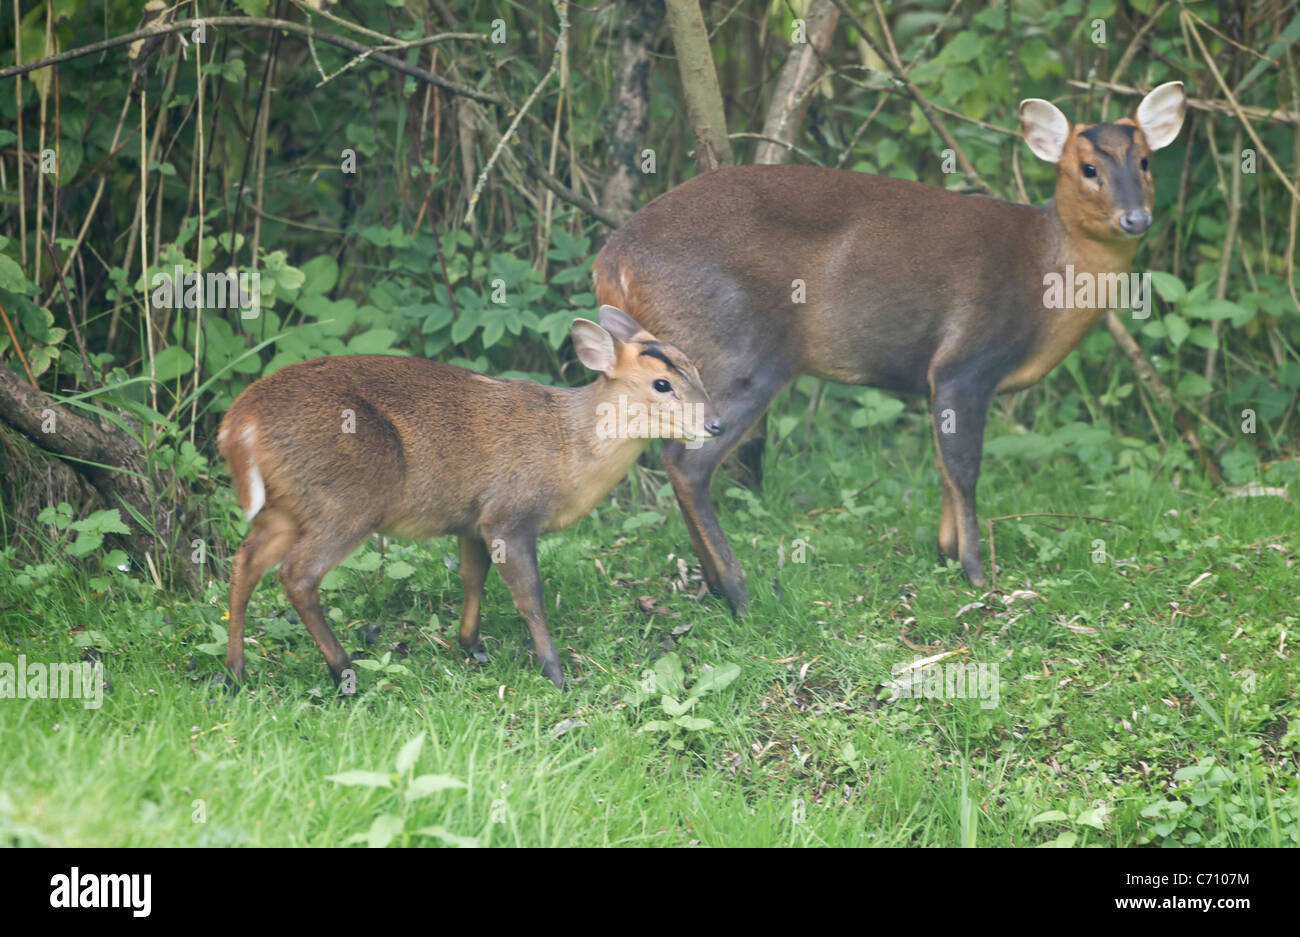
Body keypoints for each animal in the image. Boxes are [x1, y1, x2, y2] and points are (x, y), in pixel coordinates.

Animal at [215, 306, 722, 686]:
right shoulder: (509, 514)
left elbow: (472, 577)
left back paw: (235, 671)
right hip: (344, 503)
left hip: (288, 506)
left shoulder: (472, 520)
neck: (569, 449)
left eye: (698, 370)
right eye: (662, 384)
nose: (715, 424)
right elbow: (529, 595)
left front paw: (471, 645)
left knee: (245, 562)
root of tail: (238, 424)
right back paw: (342, 671)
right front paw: (555, 671)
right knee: (297, 575)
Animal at [598, 82, 1190, 613]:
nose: (1135, 218)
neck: (1047, 269)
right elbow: (964, 469)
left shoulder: (939, 380)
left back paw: (718, 588)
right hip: (735, 354)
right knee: (687, 463)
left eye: (1145, 162)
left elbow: (943, 467)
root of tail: (612, 262)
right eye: (1087, 169)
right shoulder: (964, 364)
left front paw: (946, 555)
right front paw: (977, 573)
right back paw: (740, 594)